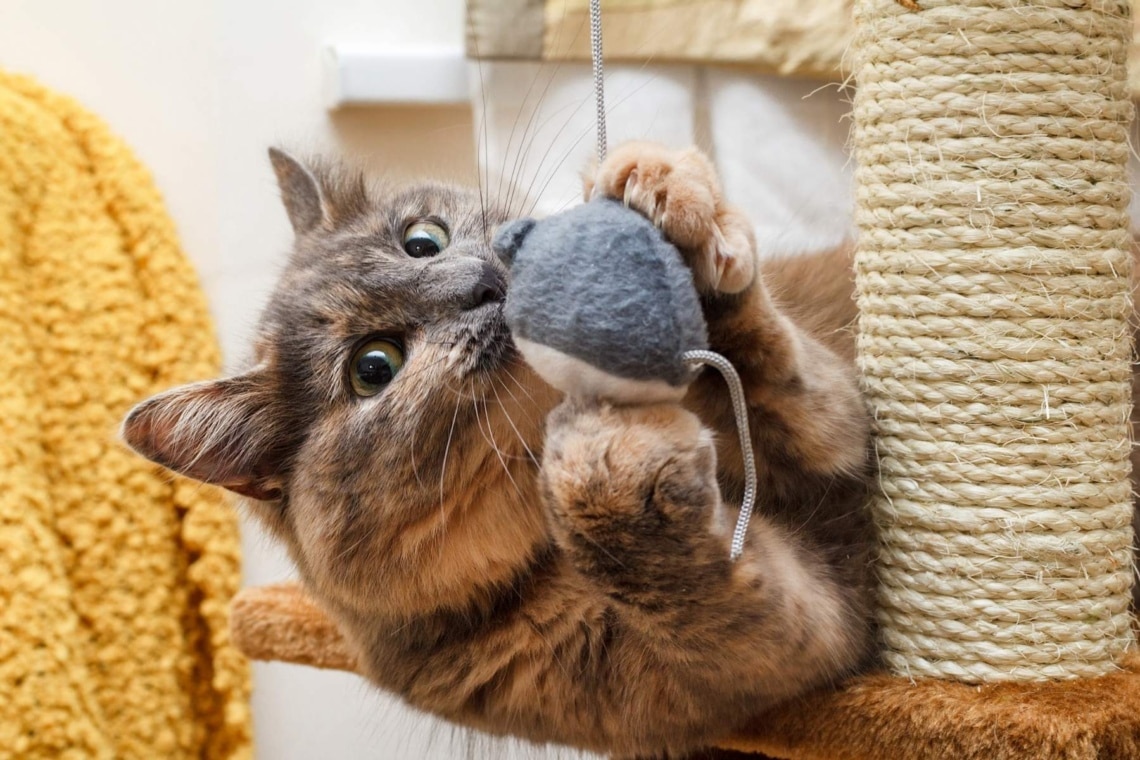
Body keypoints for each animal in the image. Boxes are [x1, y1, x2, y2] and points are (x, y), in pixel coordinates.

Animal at [124, 141, 880, 756]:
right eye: (373, 367)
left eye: (422, 240)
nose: (484, 284)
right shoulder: (764, 649)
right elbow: (686, 580)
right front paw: (604, 467)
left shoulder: (838, 427)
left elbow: (788, 378)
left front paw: (662, 192)